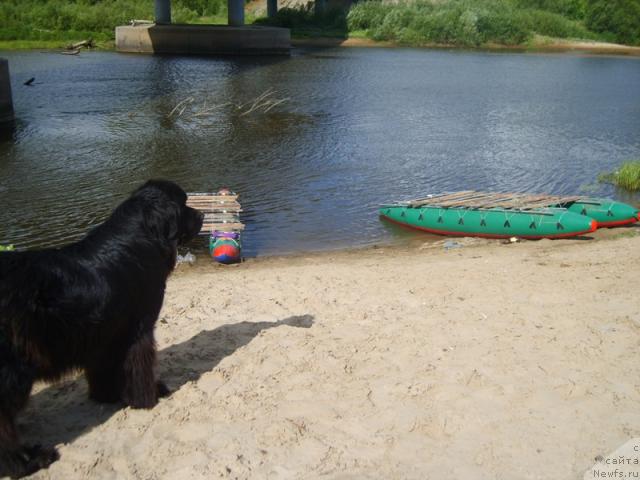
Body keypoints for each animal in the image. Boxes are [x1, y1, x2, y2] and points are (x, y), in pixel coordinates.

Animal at [0, 179, 202, 476]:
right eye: (184, 203)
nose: (201, 215)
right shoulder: (139, 330)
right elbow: (139, 368)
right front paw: (148, 397)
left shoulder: (105, 335)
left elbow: (105, 370)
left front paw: (108, 395)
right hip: (15, 370)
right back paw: (29, 461)